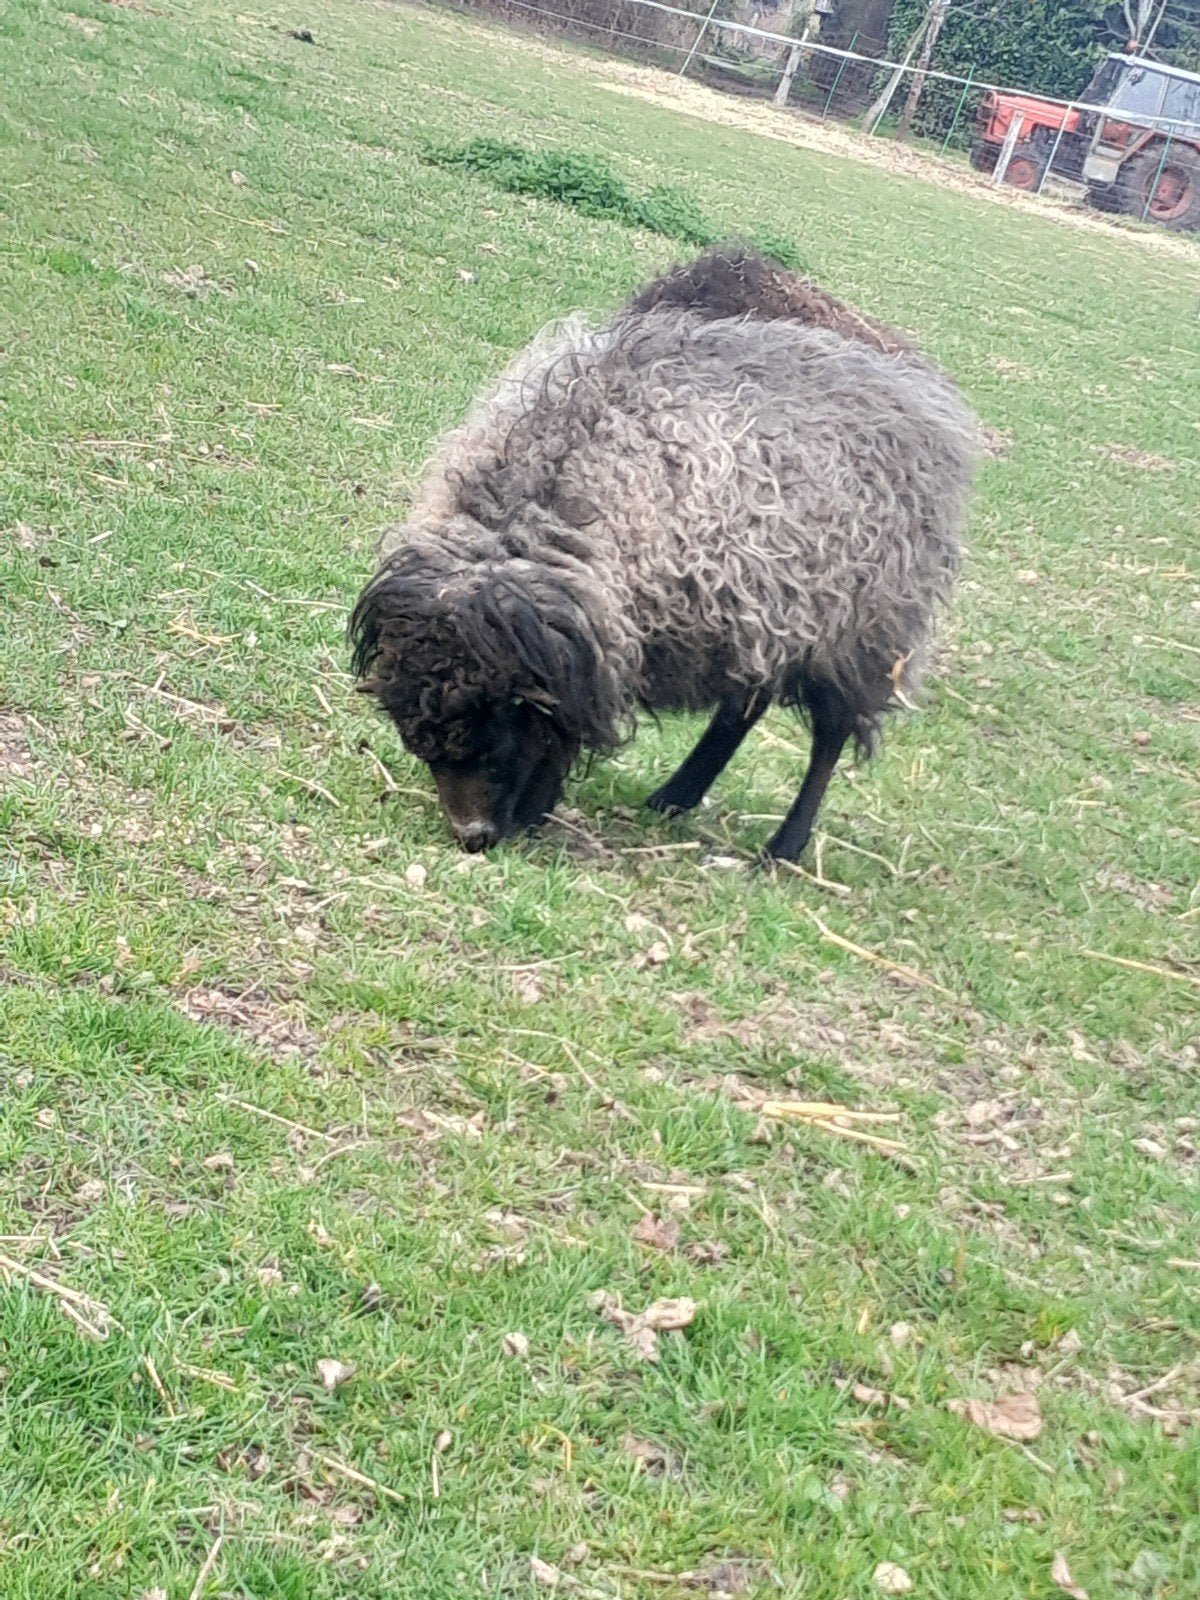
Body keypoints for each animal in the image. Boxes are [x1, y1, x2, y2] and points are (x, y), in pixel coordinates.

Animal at [349, 245, 978, 861]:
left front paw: (532, 811)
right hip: (769, 613)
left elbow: (563, 728)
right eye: (424, 748)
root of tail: (921, 395)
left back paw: (784, 846)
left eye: (491, 738)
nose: (472, 837)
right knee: (743, 709)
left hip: (859, 628)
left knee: (831, 731)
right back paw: (675, 797)